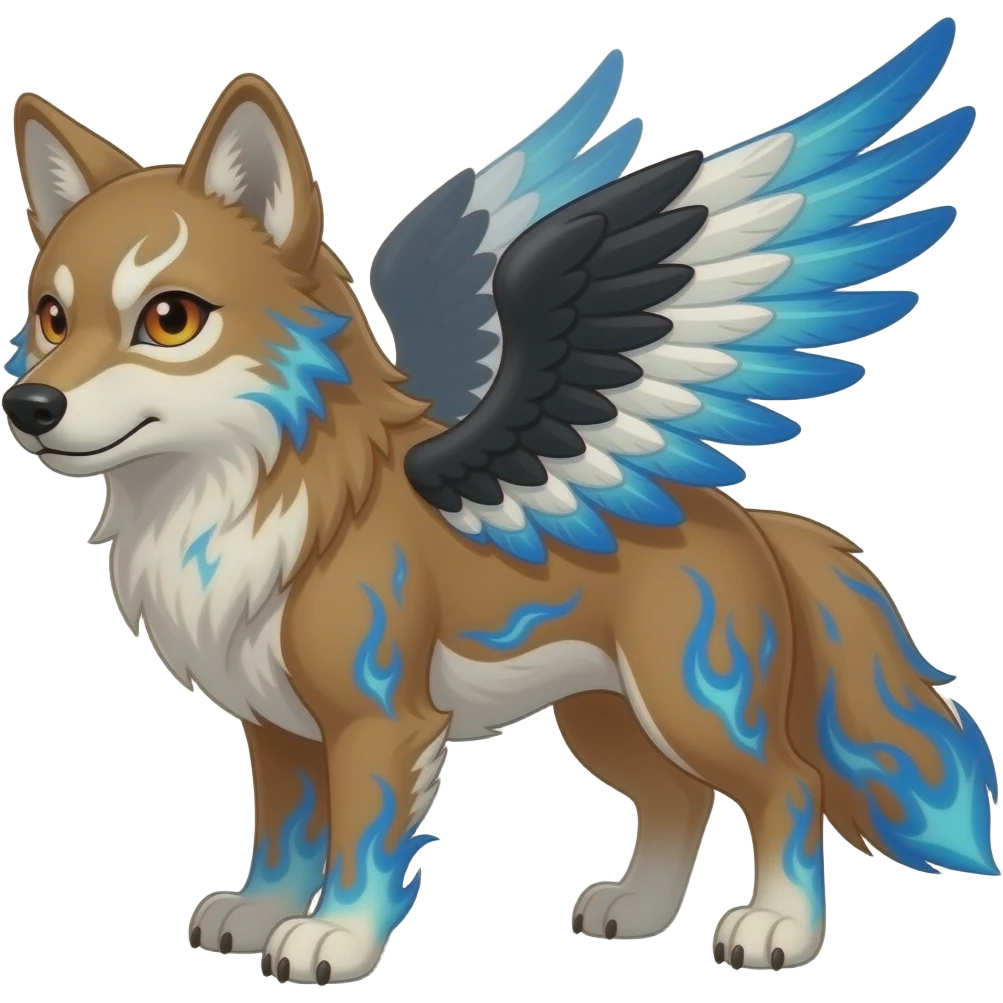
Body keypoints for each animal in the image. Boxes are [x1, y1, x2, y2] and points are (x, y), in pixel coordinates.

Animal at [3, 17, 997, 986]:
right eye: (52, 318)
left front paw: (333, 938)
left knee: (788, 786)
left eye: (170, 318)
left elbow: (361, 844)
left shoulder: (379, 721)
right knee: (679, 798)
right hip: (603, 718)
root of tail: (744, 518)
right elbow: (283, 833)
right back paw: (637, 909)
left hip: (692, 705)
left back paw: (776, 928)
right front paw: (257, 912)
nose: (29, 406)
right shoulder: (274, 725)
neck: (265, 501)